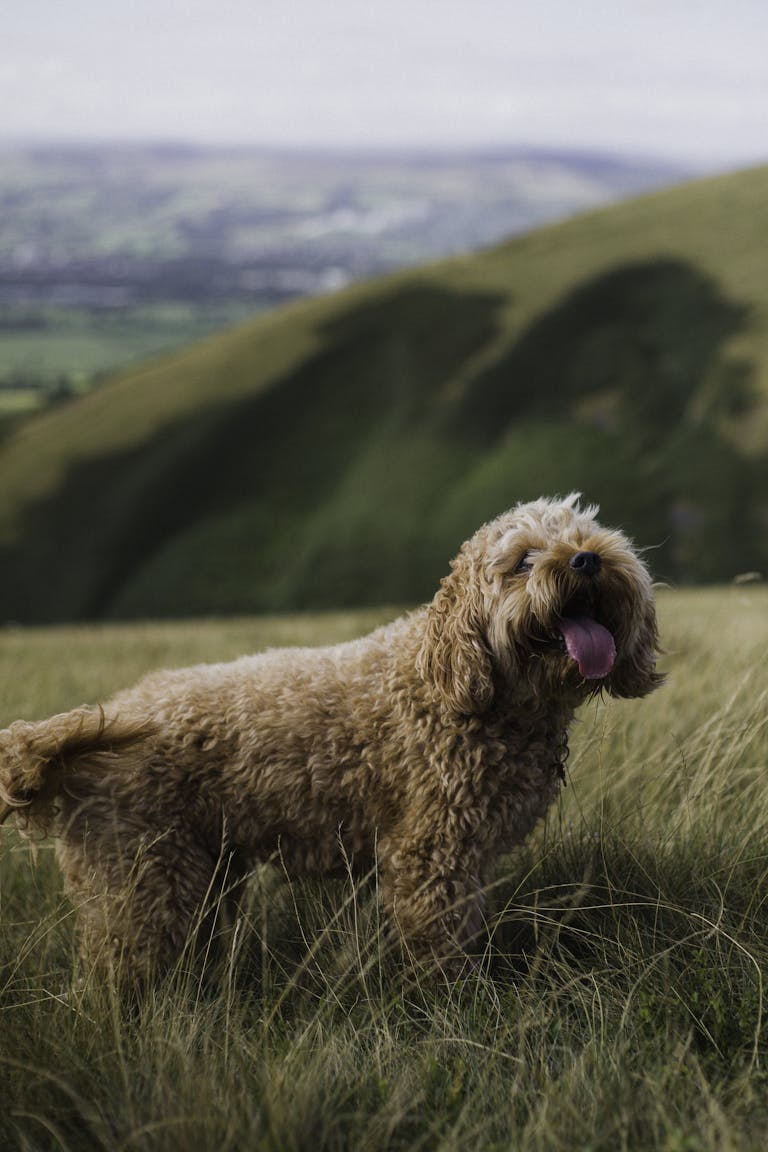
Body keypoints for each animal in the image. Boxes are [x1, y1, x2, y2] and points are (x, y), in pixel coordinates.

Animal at [0, 490, 663, 986]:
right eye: (524, 561)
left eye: (587, 537)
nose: (585, 561)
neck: (457, 684)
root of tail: (67, 736)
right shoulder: (432, 855)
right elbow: (441, 952)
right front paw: (458, 1002)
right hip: (139, 884)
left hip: (198, 872)